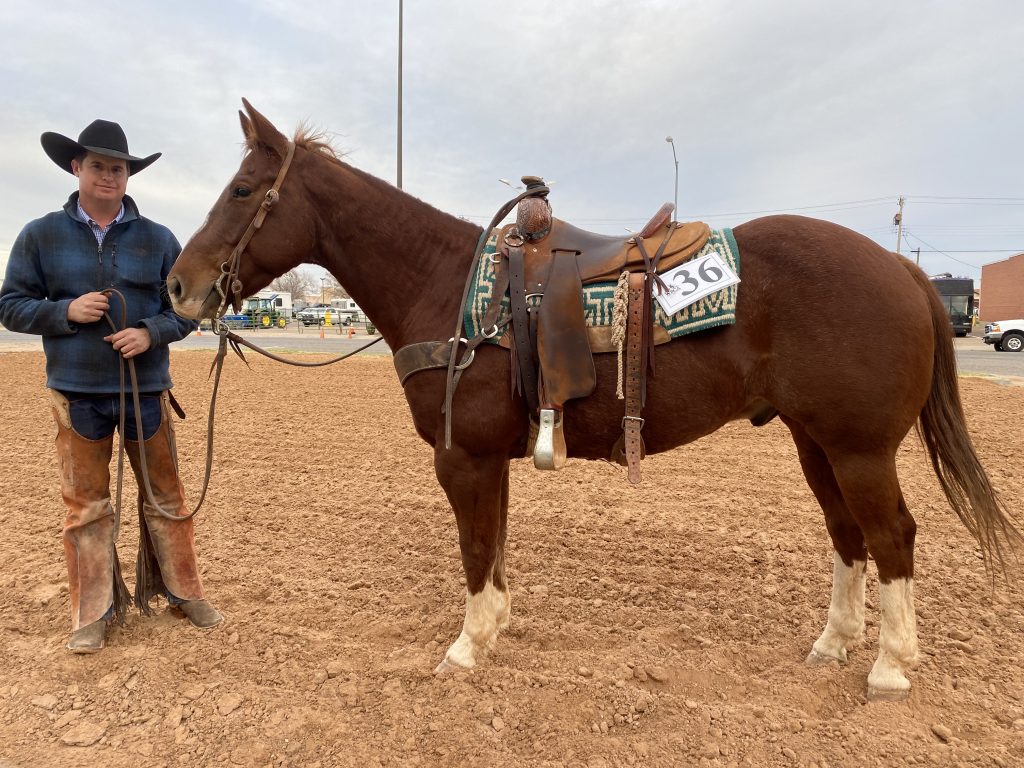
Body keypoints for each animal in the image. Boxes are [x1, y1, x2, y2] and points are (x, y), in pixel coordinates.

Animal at [167, 103, 1015, 704]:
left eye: (243, 190)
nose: (179, 286)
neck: (450, 286)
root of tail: (900, 271)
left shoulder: (463, 458)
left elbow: (475, 547)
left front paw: (466, 647)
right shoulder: (490, 460)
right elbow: (495, 546)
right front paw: (496, 627)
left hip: (860, 449)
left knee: (893, 536)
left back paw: (890, 668)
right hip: (818, 444)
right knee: (849, 538)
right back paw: (833, 645)